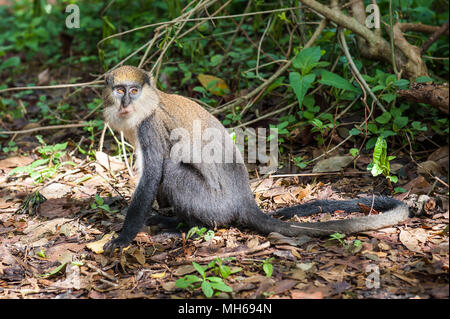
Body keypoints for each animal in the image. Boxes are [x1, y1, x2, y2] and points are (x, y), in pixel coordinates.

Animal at [102, 65, 412, 255]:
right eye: (120, 90)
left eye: (133, 90)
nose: (126, 102)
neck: (147, 105)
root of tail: (244, 201)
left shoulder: (149, 127)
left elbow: (153, 175)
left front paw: (123, 238)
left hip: (212, 204)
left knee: (175, 170)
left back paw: (189, 226)